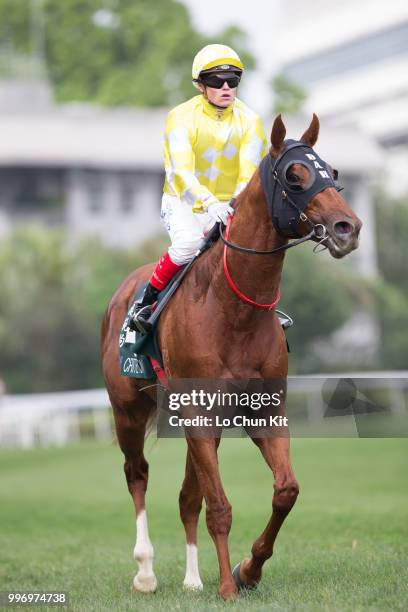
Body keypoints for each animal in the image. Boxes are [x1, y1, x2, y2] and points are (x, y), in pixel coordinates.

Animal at [100, 112, 362, 600]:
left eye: (332, 172)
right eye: (295, 176)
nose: (347, 228)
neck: (233, 308)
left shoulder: (261, 411)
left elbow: (285, 490)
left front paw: (247, 569)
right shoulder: (199, 412)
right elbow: (219, 506)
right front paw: (227, 585)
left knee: (188, 497)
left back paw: (191, 579)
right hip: (127, 410)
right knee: (136, 473)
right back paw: (145, 572)